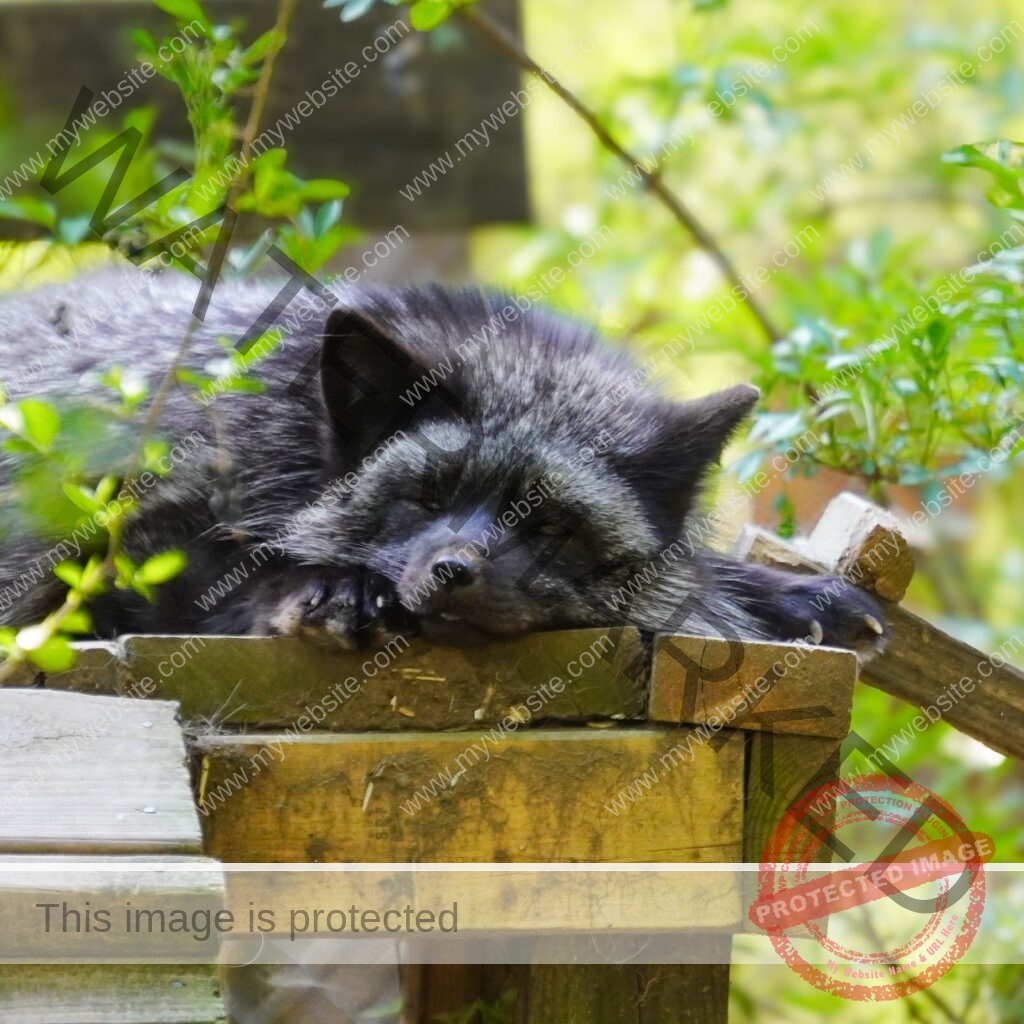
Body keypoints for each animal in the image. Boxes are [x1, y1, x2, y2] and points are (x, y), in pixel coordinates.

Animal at [0, 269, 885, 658]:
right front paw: (325, 586)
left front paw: (789, 595)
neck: (293, 440)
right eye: (426, 498)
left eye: (551, 527)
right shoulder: (117, 546)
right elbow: (221, 574)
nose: (454, 571)